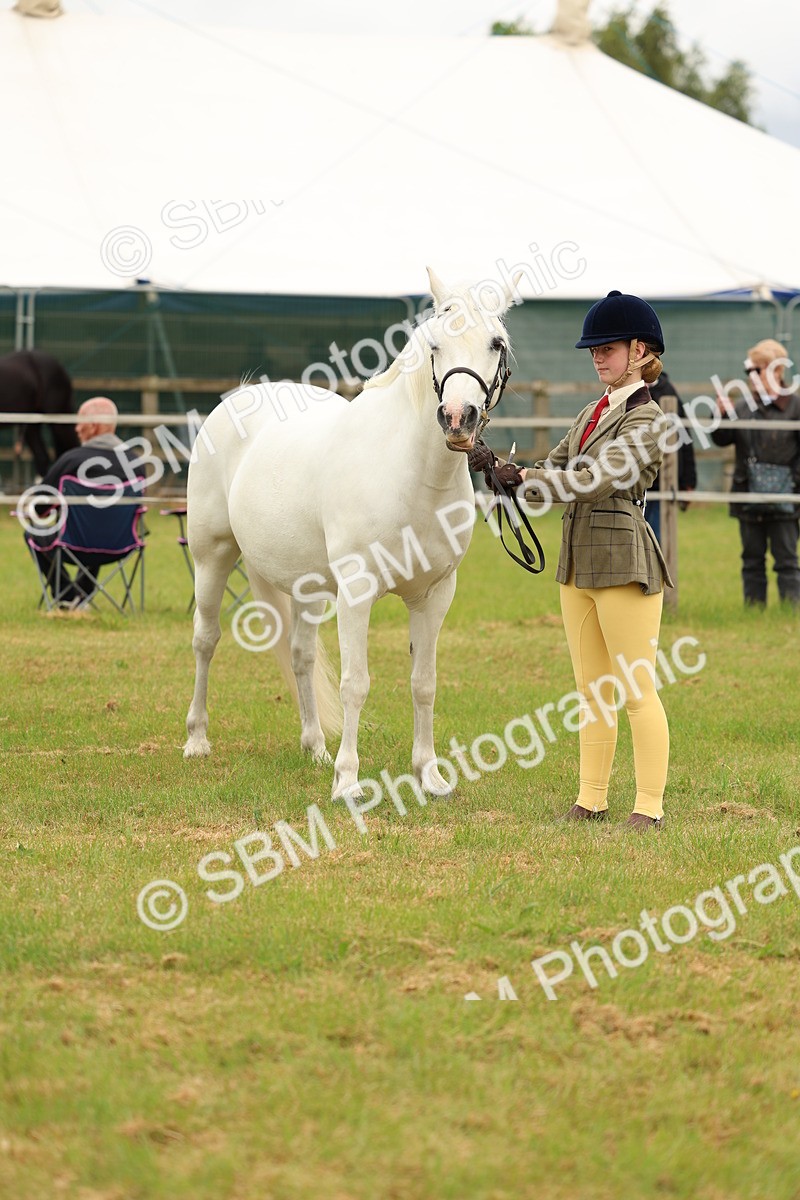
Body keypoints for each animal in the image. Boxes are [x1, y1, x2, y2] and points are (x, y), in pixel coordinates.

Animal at [183, 268, 519, 798]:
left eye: (496, 343)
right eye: (435, 345)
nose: (458, 418)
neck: (410, 474)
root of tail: (239, 398)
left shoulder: (435, 594)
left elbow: (424, 682)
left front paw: (429, 774)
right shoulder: (357, 591)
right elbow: (355, 684)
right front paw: (347, 781)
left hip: (306, 585)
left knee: (300, 656)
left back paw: (315, 747)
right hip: (210, 557)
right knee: (206, 640)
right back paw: (197, 739)